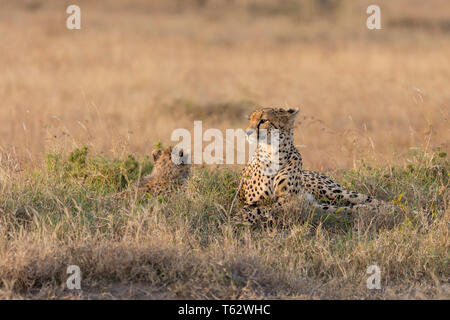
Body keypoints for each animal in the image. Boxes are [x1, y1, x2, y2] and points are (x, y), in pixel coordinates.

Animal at [237, 107, 384, 225]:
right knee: (340, 208)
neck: (273, 153)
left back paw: (383, 207)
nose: (247, 132)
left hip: (328, 191)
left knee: (364, 198)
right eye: (250, 120)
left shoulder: (287, 200)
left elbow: (266, 209)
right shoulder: (250, 202)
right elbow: (258, 209)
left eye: (263, 120)